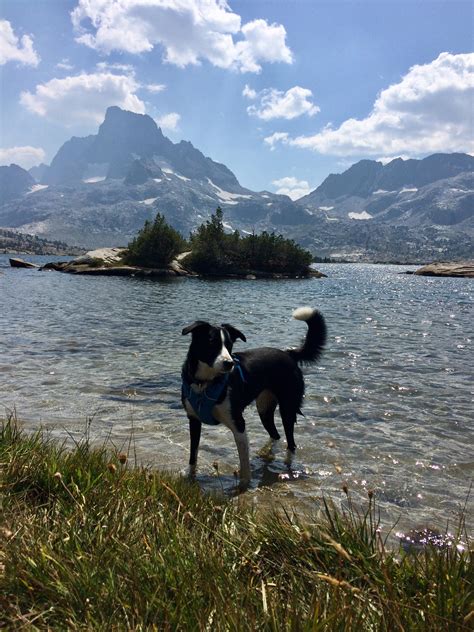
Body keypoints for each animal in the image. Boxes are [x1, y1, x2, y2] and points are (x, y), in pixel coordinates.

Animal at [181, 308, 326, 486]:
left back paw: (287, 467)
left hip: (287, 409)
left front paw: (243, 486)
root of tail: (289, 354)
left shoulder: (238, 424)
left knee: (291, 444)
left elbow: (244, 463)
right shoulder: (193, 420)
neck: (206, 384)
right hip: (264, 409)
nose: (229, 363)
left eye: (229, 345)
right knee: (275, 435)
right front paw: (190, 477)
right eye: (211, 343)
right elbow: (193, 455)